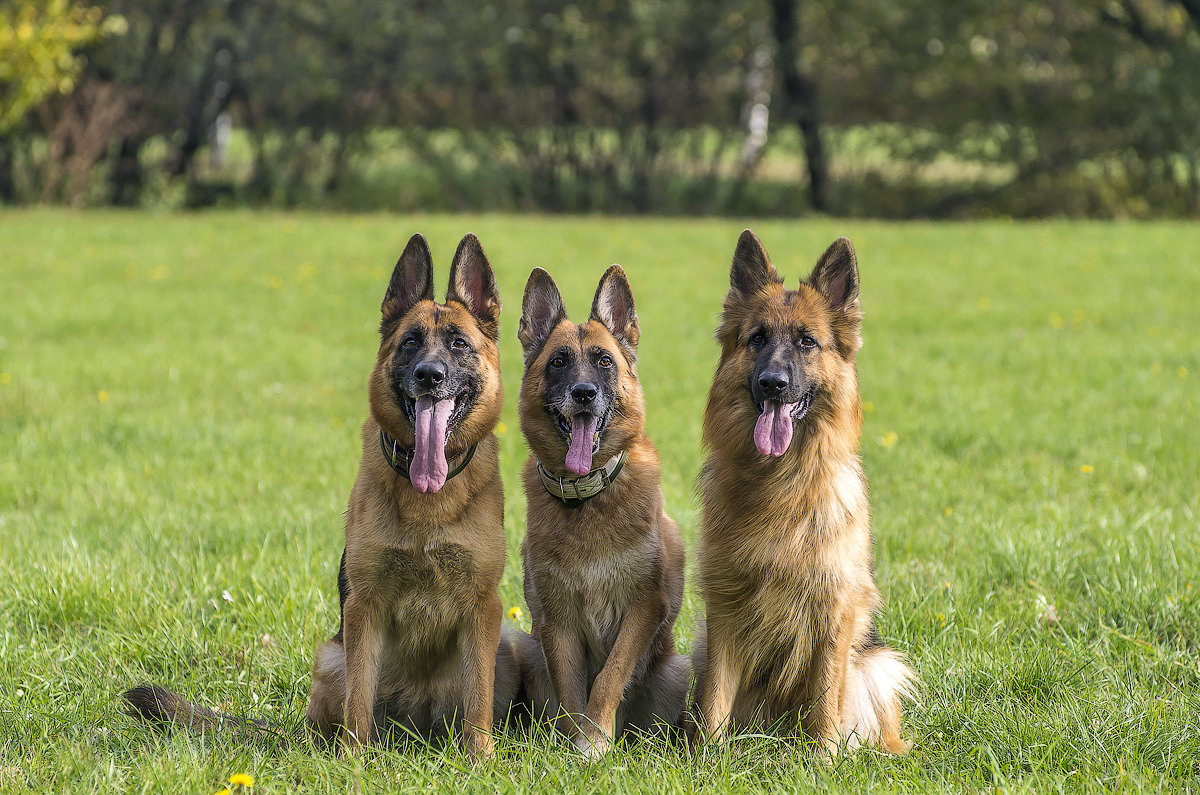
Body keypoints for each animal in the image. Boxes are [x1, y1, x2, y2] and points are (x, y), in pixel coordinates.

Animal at [125, 231, 520, 758]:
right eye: (410, 342)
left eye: (459, 344)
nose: (429, 375)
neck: (427, 499)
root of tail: (413, 736)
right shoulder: (363, 609)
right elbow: (359, 701)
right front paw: (354, 761)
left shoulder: (483, 611)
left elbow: (477, 703)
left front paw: (479, 760)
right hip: (332, 656)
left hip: (502, 650)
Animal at [513, 266, 686, 758]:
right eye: (558, 362)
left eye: (604, 361)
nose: (584, 393)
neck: (587, 498)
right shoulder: (556, 620)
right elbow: (572, 689)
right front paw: (575, 744)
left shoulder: (643, 607)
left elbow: (610, 677)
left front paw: (593, 743)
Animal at [691, 231, 912, 758]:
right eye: (757, 338)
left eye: (807, 342)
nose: (773, 384)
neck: (780, 483)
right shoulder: (724, 606)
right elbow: (715, 696)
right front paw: (707, 757)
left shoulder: (835, 608)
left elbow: (826, 694)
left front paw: (824, 758)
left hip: (877, 664)